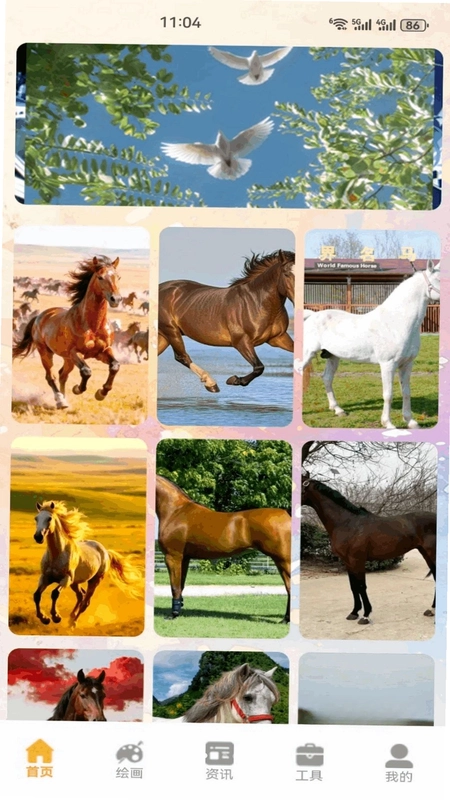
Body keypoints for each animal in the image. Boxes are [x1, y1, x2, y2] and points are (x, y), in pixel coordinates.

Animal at [12, 255, 122, 410]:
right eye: (100, 277)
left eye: (118, 277)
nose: (116, 299)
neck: (92, 325)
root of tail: (40, 316)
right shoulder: (75, 352)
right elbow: (86, 371)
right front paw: (78, 389)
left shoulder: (103, 351)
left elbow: (115, 366)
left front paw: (101, 393)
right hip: (46, 353)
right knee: (51, 376)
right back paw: (60, 401)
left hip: (67, 359)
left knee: (62, 374)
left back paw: (64, 399)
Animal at [155, 475, 291, 622]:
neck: (175, 511)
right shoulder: (184, 558)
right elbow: (181, 586)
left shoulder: (172, 556)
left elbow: (174, 587)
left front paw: (173, 614)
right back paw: (286, 619)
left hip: (283, 560)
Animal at [158, 249, 295, 393]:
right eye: (286, 274)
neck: (256, 303)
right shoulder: (241, 342)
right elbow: (259, 367)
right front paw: (235, 380)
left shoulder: (278, 337)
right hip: (171, 331)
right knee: (182, 357)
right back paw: (211, 384)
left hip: (164, 337)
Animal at [301, 260, 440, 429]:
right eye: (440, 279)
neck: (396, 321)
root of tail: (312, 316)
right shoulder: (387, 364)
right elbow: (388, 394)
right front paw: (388, 423)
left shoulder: (407, 364)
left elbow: (406, 392)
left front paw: (410, 421)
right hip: (307, 353)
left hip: (333, 357)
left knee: (327, 378)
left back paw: (338, 410)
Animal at [301, 471, 436, 625]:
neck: (347, 523)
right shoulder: (348, 562)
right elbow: (353, 586)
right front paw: (354, 613)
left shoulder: (357, 560)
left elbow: (361, 586)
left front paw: (365, 615)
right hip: (425, 553)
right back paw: (431, 610)